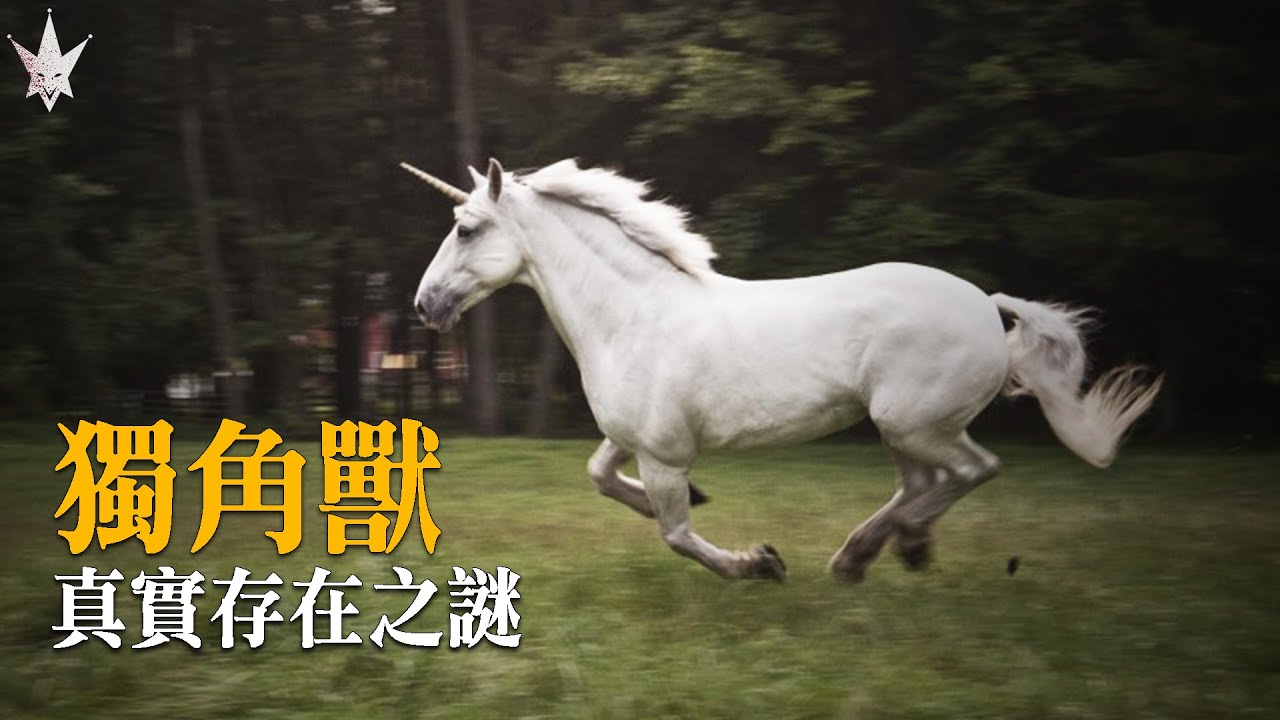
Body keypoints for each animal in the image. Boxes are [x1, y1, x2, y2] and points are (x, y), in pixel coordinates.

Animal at [402, 157, 1163, 582]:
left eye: (466, 229)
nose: (424, 305)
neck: (635, 314)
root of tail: (988, 305)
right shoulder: (632, 440)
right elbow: (601, 478)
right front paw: (698, 505)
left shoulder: (662, 452)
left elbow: (676, 534)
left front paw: (758, 564)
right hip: (903, 429)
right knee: (924, 484)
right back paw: (867, 556)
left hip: (917, 424)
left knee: (972, 472)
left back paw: (895, 547)